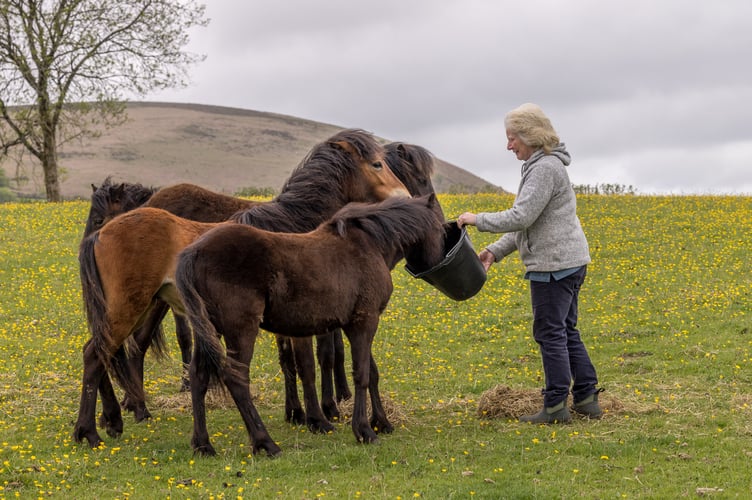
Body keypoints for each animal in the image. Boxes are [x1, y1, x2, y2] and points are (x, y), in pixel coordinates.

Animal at [73, 129, 411, 448]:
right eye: (377, 164)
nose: (405, 196)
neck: (293, 226)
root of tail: (100, 237)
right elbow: (306, 366)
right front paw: (317, 420)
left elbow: (291, 365)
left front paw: (298, 414)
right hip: (133, 308)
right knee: (99, 354)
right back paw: (94, 430)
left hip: (141, 308)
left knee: (108, 352)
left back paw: (113, 420)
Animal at [176, 194, 445, 456]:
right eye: (441, 229)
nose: (442, 258)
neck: (369, 245)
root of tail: (193, 252)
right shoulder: (365, 321)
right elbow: (362, 374)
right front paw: (364, 430)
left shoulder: (354, 324)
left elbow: (371, 372)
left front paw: (382, 422)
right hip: (240, 331)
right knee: (237, 378)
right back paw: (266, 443)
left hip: (209, 331)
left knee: (198, 376)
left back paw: (203, 445)